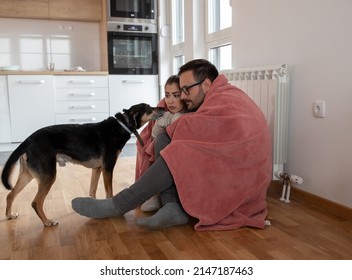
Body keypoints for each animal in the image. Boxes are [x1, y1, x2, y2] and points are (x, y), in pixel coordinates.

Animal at [1, 104, 161, 226]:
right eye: (149, 108)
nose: (162, 108)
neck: (122, 125)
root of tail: (28, 140)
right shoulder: (108, 168)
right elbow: (109, 193)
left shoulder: (97, 169)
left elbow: (92, 191)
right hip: (48, 176)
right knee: (36, 202)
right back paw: (47, 222)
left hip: (27, 175)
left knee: (10, 195)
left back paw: (9, 215)